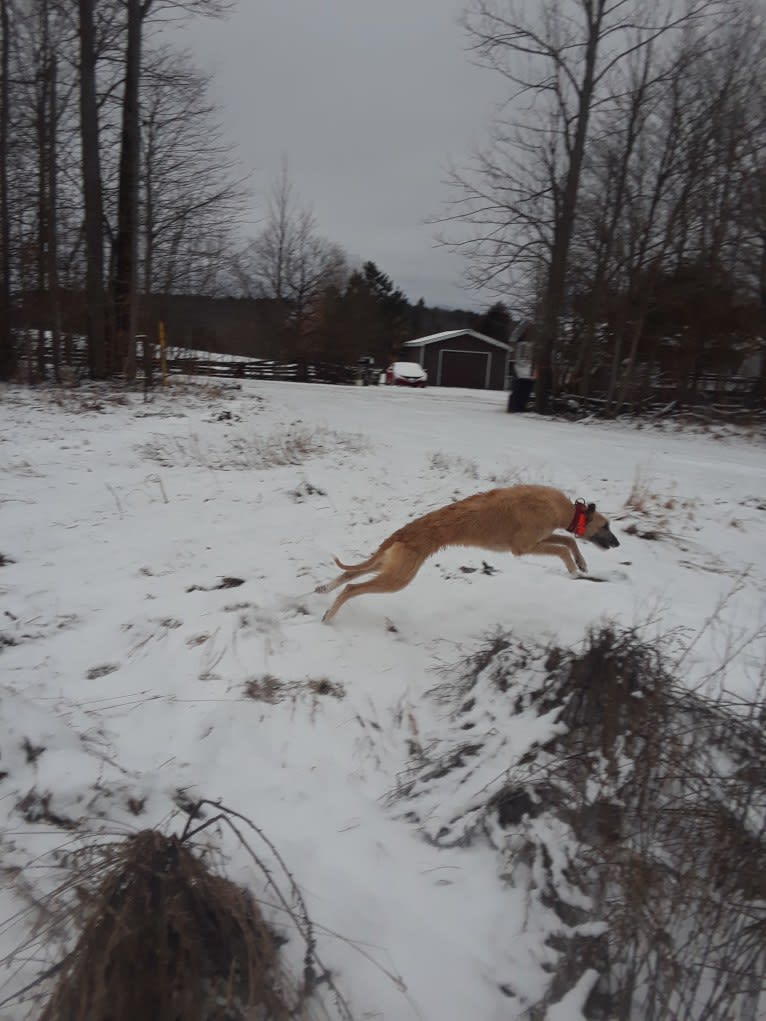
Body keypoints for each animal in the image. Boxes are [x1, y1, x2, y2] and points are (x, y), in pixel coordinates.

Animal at [314, 483, 620, 620]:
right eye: (606, 525)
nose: (618, 544)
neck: (566, 510)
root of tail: (403, 533)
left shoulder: (541, 538)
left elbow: (570, 542)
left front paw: (582, 563)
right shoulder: (524, 546)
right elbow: (563, 549)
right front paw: (573, 569)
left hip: (390, 565)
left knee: (348, 577)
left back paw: (323, 590)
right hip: (398, 577)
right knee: (351, 587)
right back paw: (329, 616)